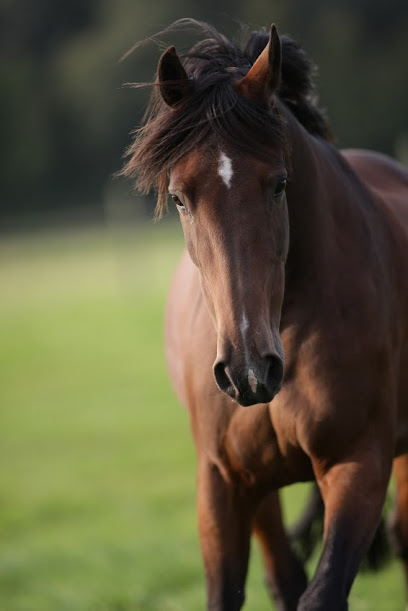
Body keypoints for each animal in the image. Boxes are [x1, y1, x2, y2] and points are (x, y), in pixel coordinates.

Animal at [122, 19, 408, 611]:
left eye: (280, 184)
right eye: (180, 198)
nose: (249, 370)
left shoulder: (359, 466)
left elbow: (322, 593)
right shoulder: (221, 483)